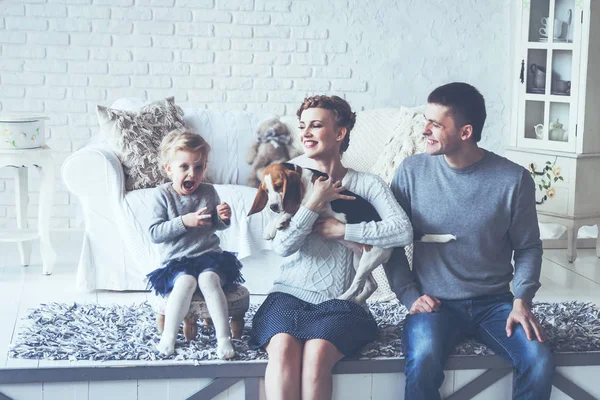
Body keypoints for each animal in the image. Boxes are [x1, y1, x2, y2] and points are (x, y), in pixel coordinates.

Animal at [248, 162, 454, 304]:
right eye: (266, 191)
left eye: (279, 186)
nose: (273, 207)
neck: (303, 179)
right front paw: (273, 225)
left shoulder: (319, 204)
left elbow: (297, 208)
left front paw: (277, 222)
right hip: (359, 259)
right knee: (370, 285)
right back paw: (356, 300)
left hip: (369, 259)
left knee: (357, 284)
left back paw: (342, 298)